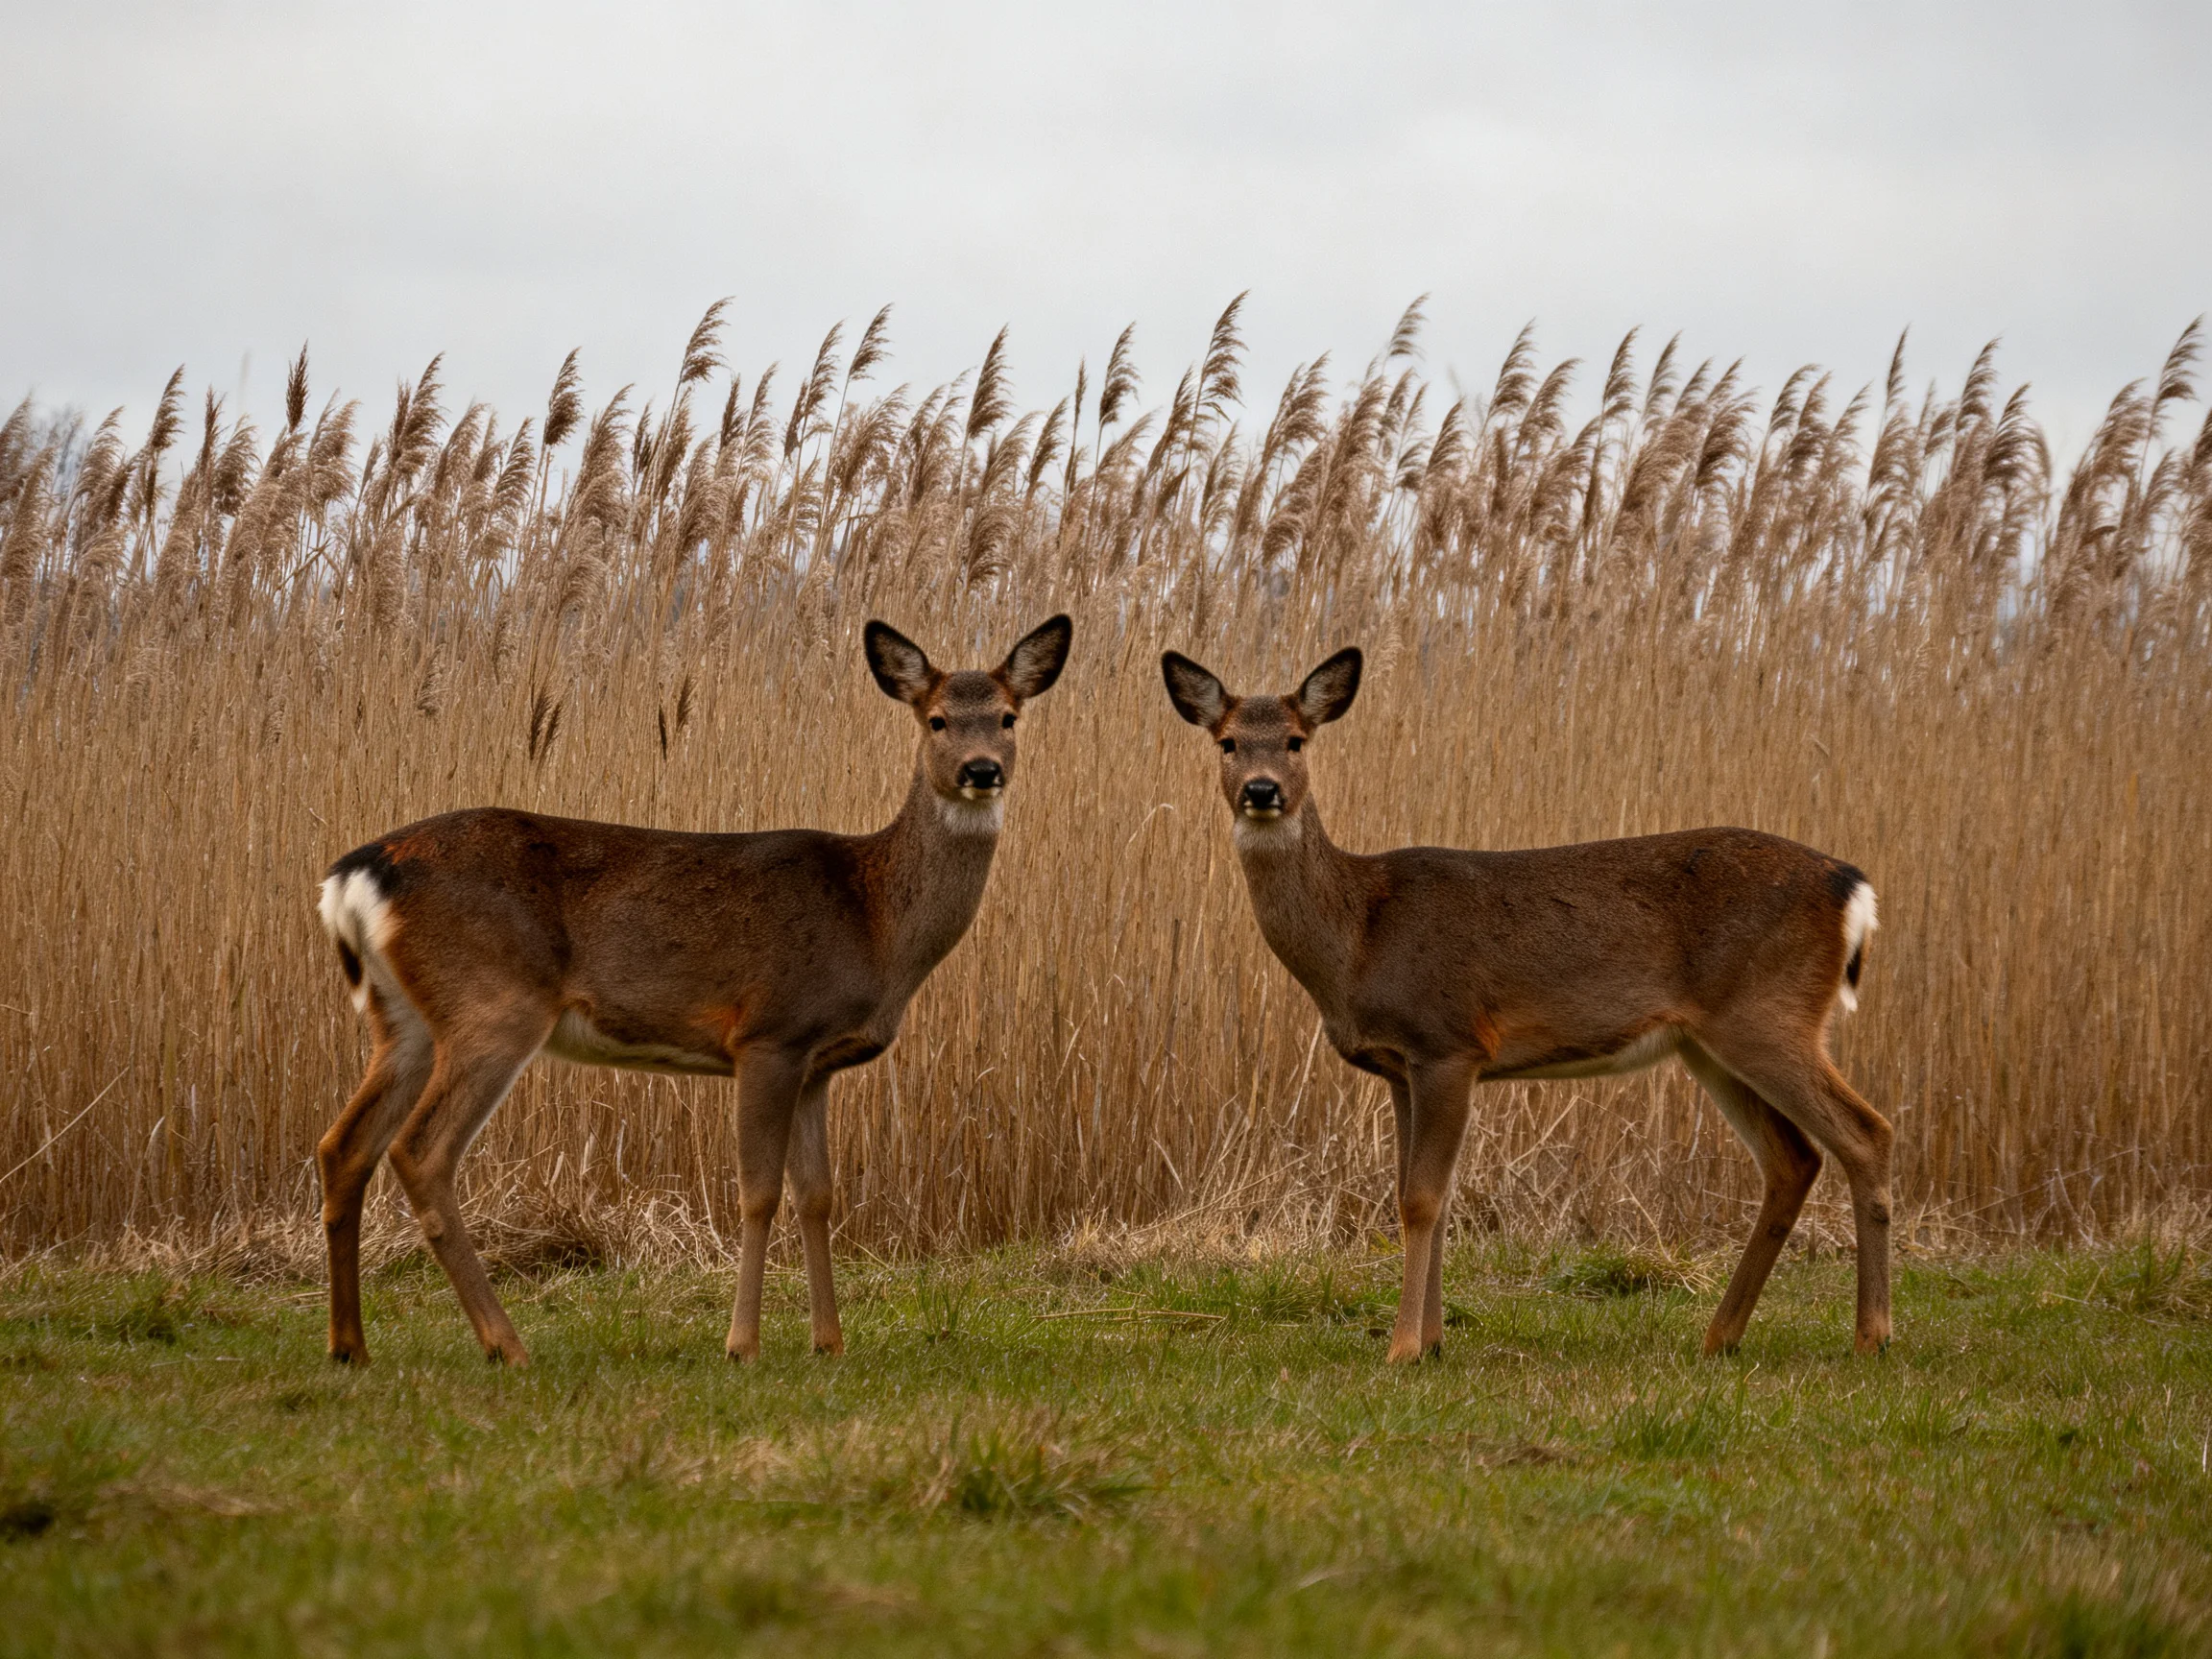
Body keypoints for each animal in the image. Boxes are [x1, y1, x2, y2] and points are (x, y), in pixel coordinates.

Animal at [313, 614, 1073, 1366]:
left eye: (1008, 716)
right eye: (937, 719)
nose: (983, 770)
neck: (874, 917)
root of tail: (353, 875)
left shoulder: (817, 1064)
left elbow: (818, 1195)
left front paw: (829, 1343)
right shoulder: (770, 1032)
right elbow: (759, 1193)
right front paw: (743, 1345)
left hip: (402, 1019)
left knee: (343, 1145)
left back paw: (350, 1346)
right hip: (494, 1003)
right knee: (420, 1151)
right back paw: (505, 1345)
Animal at [1160, 646, 1892, 1363]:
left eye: (1296, 740)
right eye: (1227, 742)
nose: (1262, 790)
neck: (1359, 935)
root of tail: (1853, 888)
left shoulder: (1448, 1042)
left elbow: (1421, 1199)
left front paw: (1402, 1348)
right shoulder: (1402, 1066)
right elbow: (1426, 1197)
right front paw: (1432, 1342)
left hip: (1768, 1013)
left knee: (1866, 1133)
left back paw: (1871, 1336)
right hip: (1708, 1043)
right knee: (1793, 1159)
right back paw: (1721, 1337)